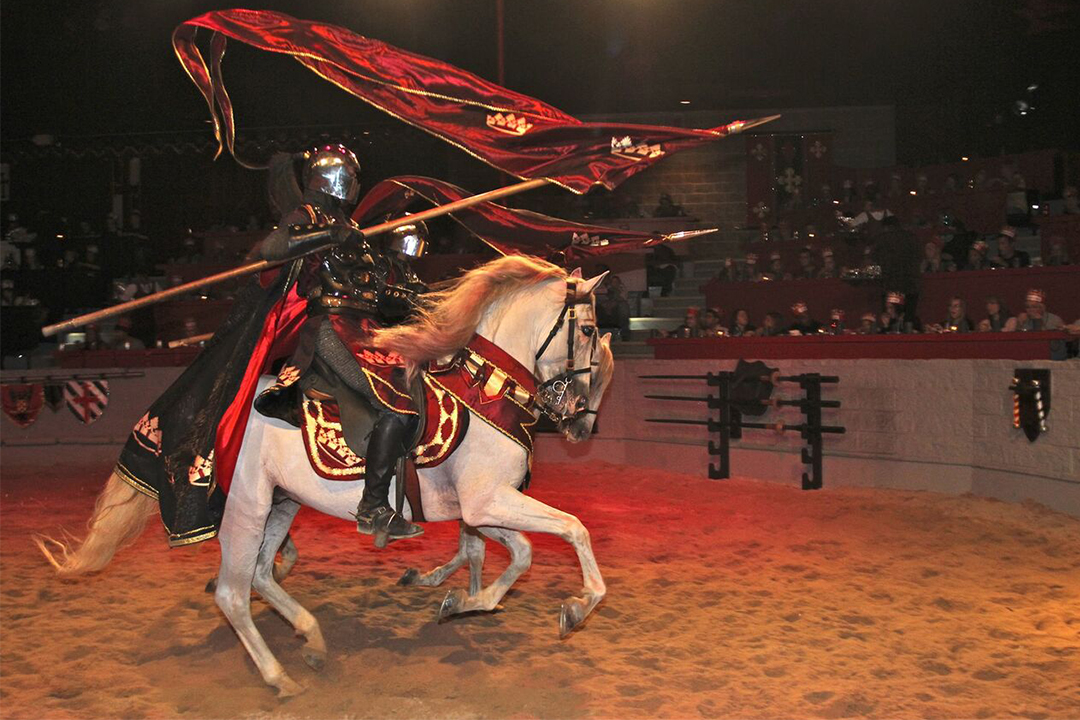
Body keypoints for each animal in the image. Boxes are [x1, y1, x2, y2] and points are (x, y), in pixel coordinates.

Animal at [39, 255, 617, 695]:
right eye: (588, 330)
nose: (580, 425)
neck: (485, 390)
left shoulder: (481, 506)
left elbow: (518, 553)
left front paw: (462, 603)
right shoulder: (486, 501)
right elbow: (572, 529)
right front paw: (577, 607)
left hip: (281, 503)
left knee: (261, 574)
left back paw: (312, 640)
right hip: (246, 508)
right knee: (233, 592)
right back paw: (279, 678)